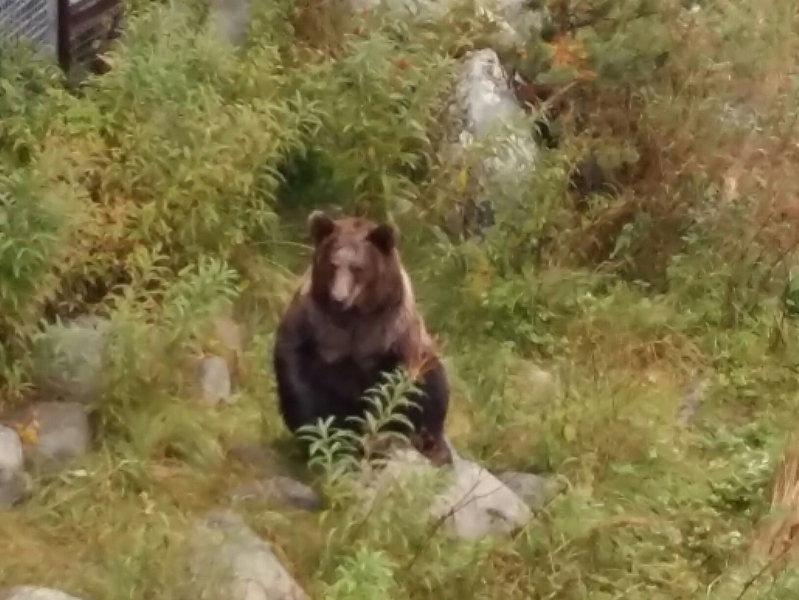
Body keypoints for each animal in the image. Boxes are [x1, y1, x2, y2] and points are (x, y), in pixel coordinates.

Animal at [272, 210, 451, 465]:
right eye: (333, 264)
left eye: (358, 268)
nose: (339, 298)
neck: (355, 316)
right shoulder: (313, 324)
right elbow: (298, 373)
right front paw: (324, 435)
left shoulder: (393, 332)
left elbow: (406, 386)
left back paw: (432, 443)